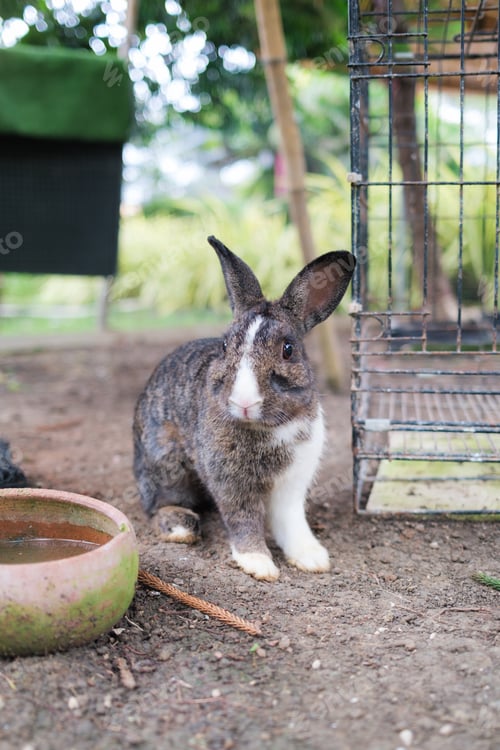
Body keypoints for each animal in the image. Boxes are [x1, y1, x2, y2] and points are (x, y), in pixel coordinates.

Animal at [133, 236, 356, 581]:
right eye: (225, 346)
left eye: (288, 349)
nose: (244, 402)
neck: (268, 426)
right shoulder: (231, 484)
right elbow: (243, 519)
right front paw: (259, 564)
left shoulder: (292, 483)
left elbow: (291, 520)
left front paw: (312, 558)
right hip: (165, 464)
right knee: (158, 506)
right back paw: (181, 527)